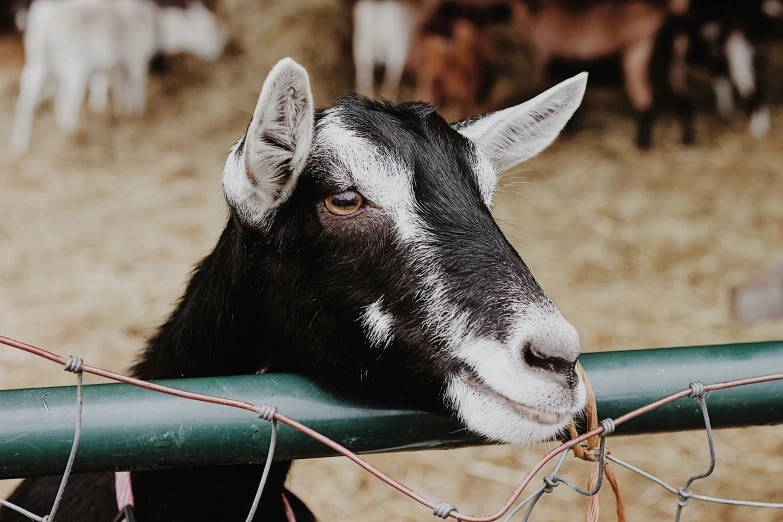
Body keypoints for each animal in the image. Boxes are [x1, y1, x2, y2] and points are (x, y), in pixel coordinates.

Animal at [516, 0, 692, 147]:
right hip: (677, 60)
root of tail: (668, 16)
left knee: (645, 100)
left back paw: (642, 143)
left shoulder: (543, 56)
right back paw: (686, 139)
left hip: (638, 55)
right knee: (683, 97)